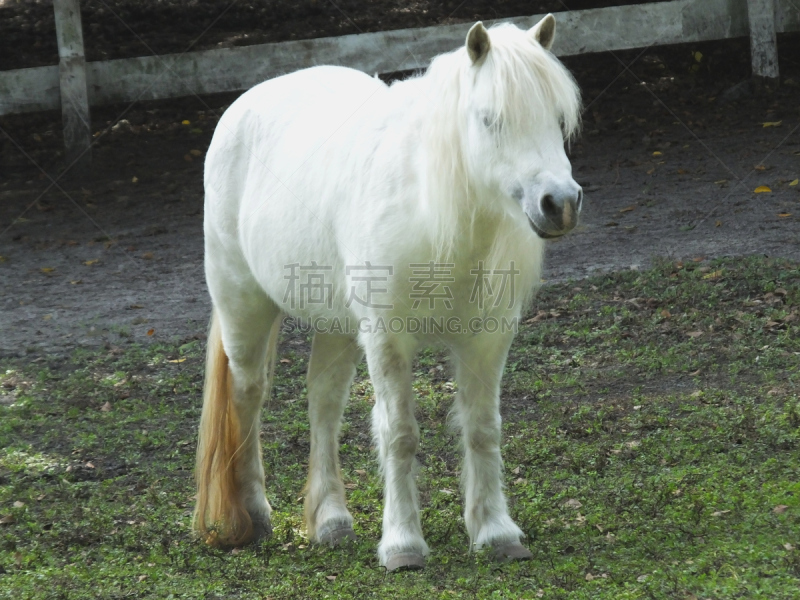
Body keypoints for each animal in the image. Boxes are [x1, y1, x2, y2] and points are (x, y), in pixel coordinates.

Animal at [194, 16, 580, 572]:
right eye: (490, 120)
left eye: (557, 117)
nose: (560, 204)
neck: (431, 209)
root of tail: (247, 104)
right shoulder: (387, 338)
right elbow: (399, 433)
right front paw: (402, 544)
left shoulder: (487, 340)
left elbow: (483, 427)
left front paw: (495, 531)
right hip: (244, 306)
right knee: (248, 396)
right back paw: (256, 516)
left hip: (336, 325)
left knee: (324, 402)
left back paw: (331, 520)